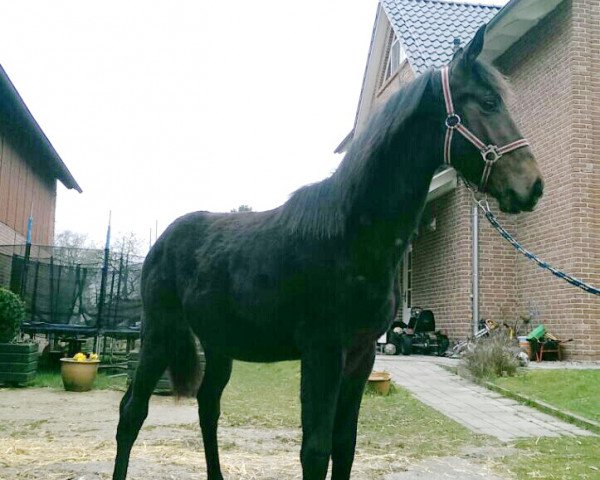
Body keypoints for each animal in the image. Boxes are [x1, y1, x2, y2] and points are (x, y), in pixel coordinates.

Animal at [111, 26, 544, 480]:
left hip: (218, 343)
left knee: (207, 406)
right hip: (159, 334)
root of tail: (162, 242)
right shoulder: (322, 353)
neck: (351, 236)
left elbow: (345, 445)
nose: (533, 185)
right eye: (489, 102)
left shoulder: (360, 356)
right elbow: (315, 450)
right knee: (132, 411)